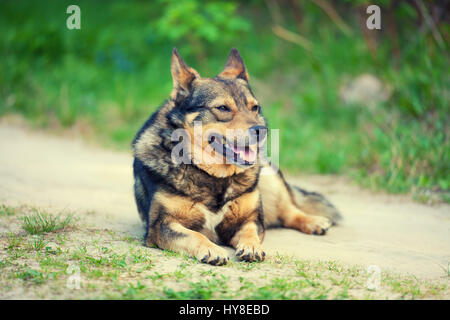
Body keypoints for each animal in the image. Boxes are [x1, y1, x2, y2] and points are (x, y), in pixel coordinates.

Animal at [132, 47, 340, 264]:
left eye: (254, 107)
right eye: (223, 108)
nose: (262, 130)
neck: (215, 177)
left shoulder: (250, 220)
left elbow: (250, 233)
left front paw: (252, 247)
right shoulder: (161, 226)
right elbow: (194, 235)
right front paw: (211, 249)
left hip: (270, 179)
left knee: (289, 210)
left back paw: (313, 221)